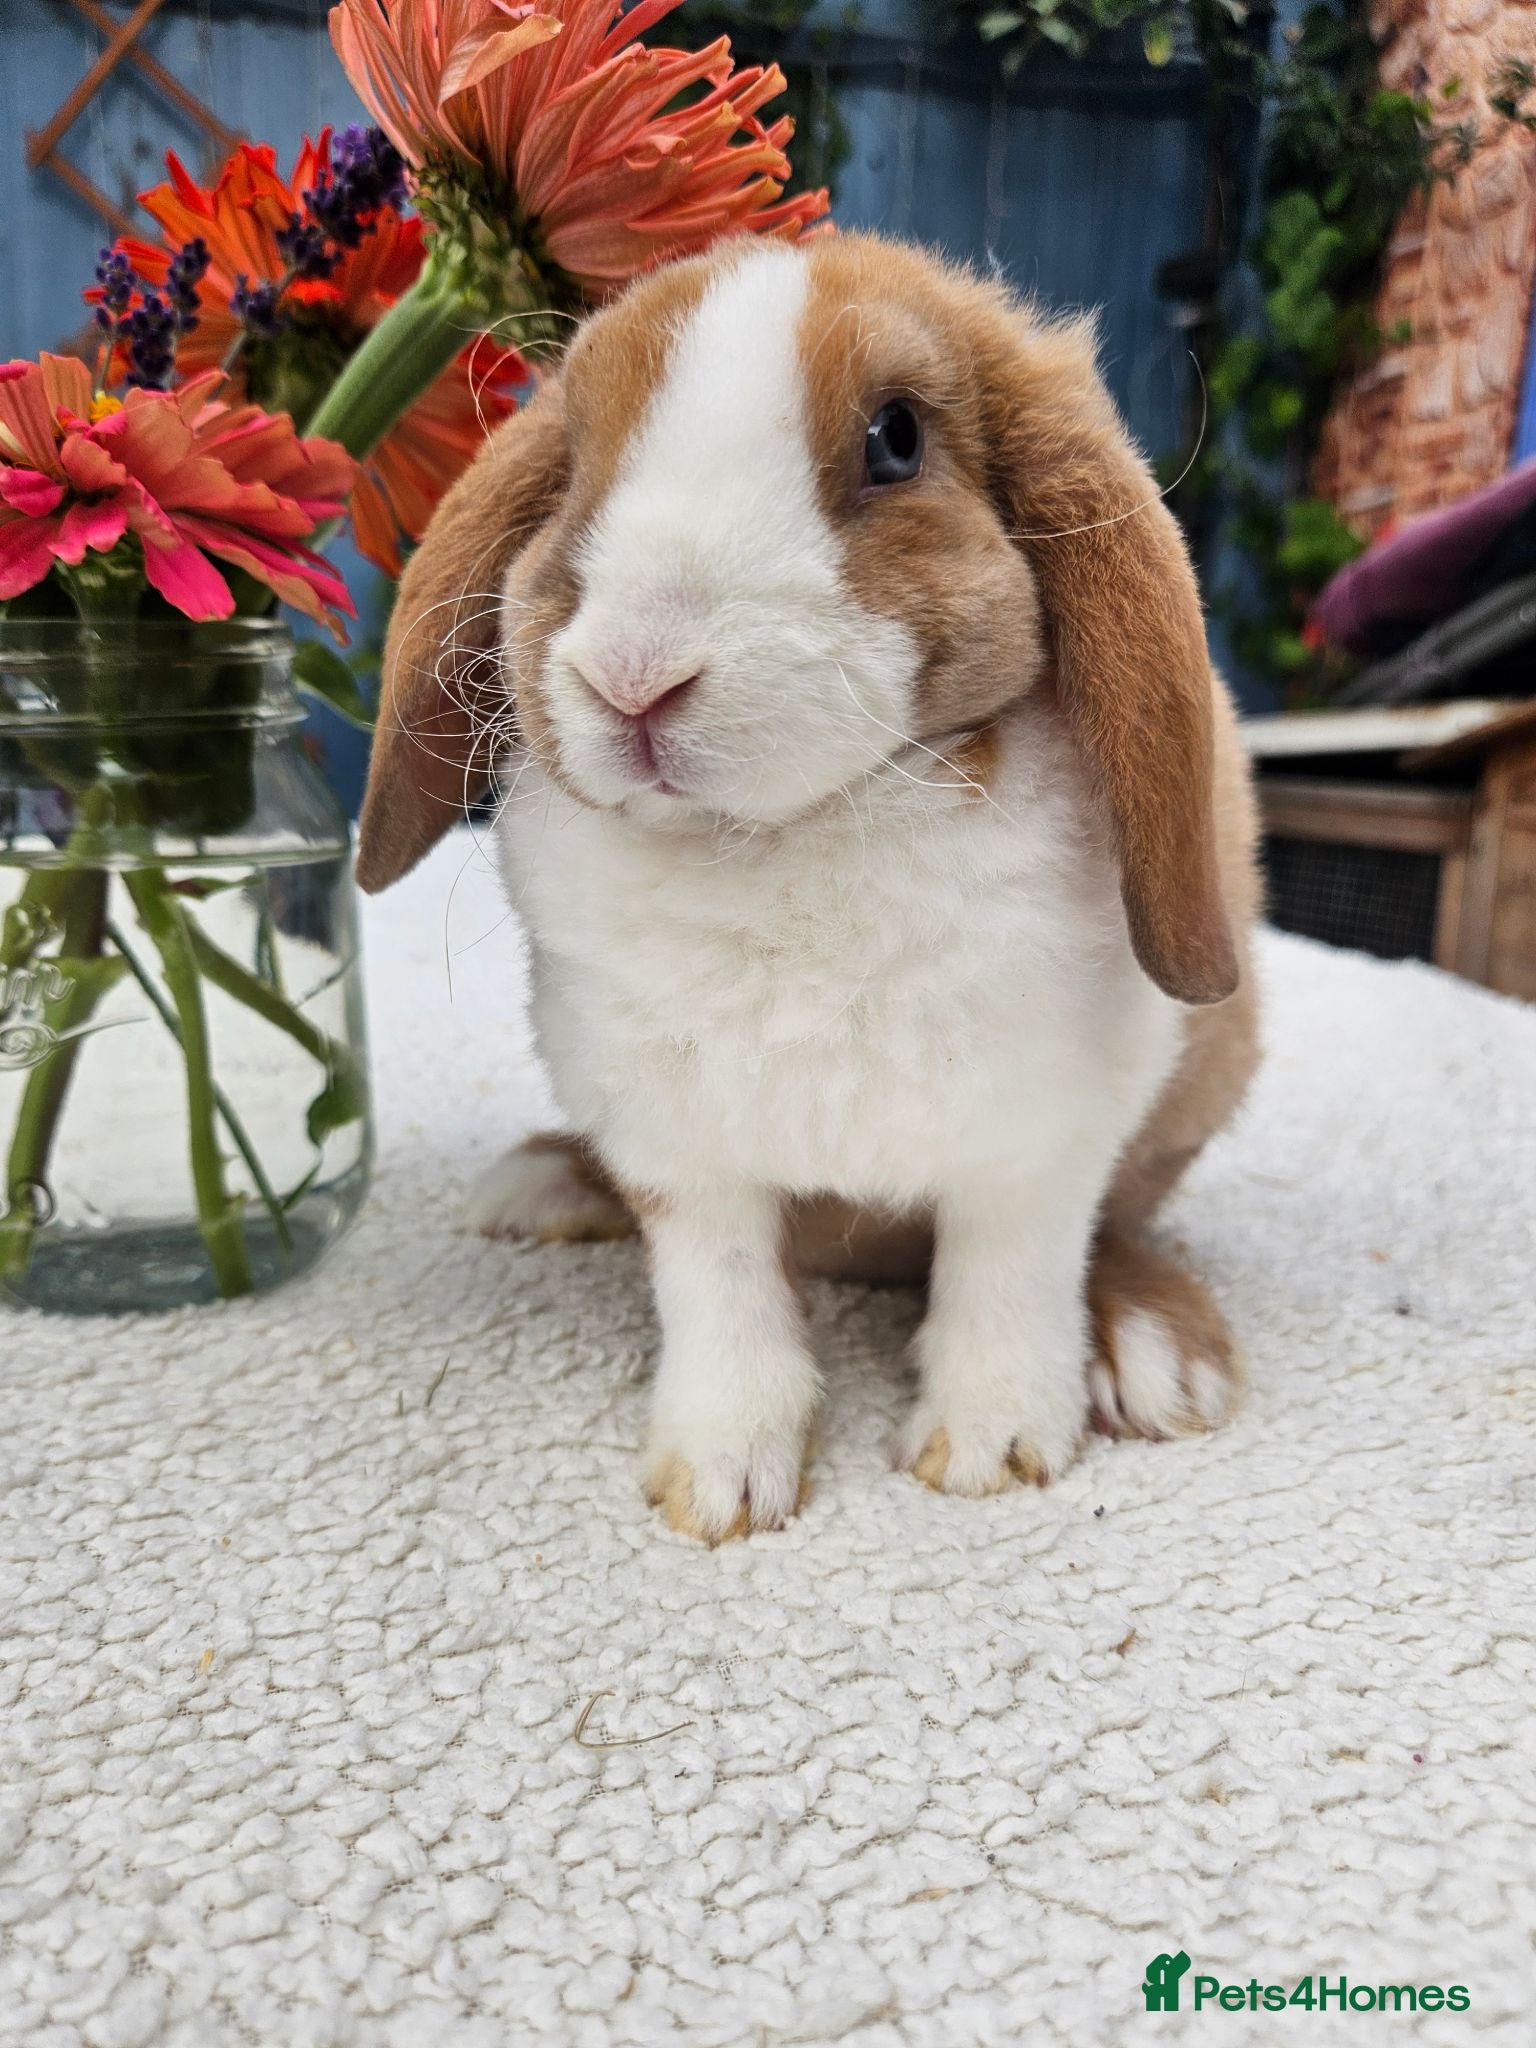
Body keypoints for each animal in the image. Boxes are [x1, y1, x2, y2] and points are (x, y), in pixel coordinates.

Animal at [355, 231, 1262, 1543]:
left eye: (896, 437)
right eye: (574, 450)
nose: (634, 671)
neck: (787, 835)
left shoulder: (1041, 1132)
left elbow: (1014, 1266)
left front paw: (989, 1447)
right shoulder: (674, 1142)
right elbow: (721, 1290)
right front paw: (723, 1476)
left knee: (1122, 1227)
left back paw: (1156, 1354)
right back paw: (538, 1184)